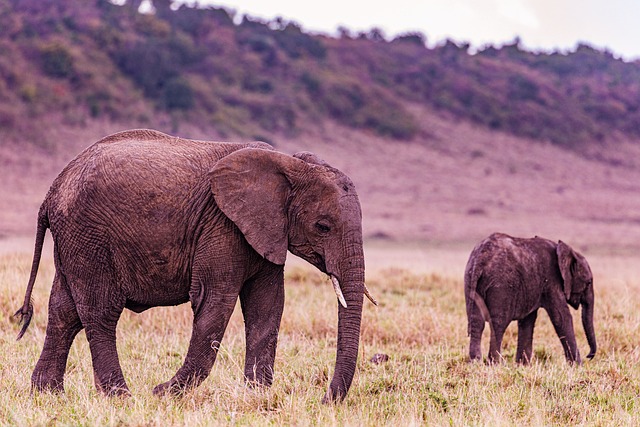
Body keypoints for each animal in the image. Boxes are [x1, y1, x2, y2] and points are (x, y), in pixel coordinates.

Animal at [13, 129, 376, 402]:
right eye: (323, 226)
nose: (325, 399)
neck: (288, 164)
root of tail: (53, 189)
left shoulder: (266, 230)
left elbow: (267, 305)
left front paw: (256, 395)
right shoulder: (223, 225)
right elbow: (216, 302)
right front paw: (164, 394)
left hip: (74, 239)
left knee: (64, 310)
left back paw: (47, 394)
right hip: (89, 234)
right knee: (100, 310)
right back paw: (120, 396)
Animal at [464, 234, 596, 364]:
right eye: (589, 282)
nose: (589, 356)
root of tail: (480, 259)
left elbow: (527, 321)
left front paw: (522, 365)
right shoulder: (552, 282)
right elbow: (562, 318)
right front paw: (578, 366)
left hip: (471, 279)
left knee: (477, 321)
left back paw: (475, 362)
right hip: (500, 284)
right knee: (498, 323)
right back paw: (495, 364)